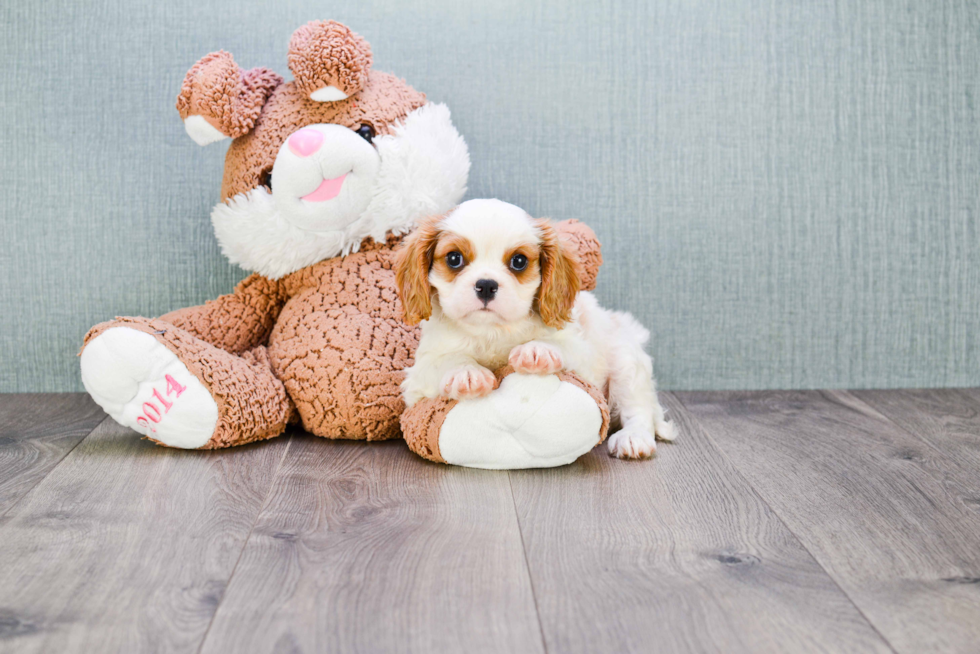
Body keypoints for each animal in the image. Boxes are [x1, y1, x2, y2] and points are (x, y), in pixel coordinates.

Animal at [390, 200, 672, 462]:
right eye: (454, 258)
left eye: (519, 261)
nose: (486, 285)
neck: (493, 331)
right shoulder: (418, 377)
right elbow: (445, 361)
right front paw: (467, 372)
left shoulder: (582, 355)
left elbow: (562, 346)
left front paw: (537, 349)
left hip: (626, 362)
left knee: (639, 409)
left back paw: (633, 438)